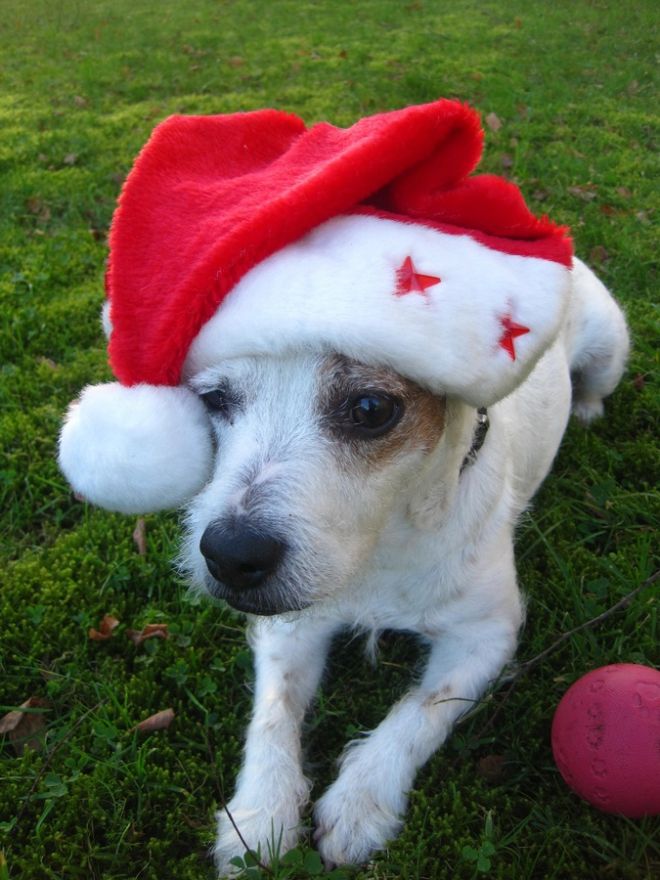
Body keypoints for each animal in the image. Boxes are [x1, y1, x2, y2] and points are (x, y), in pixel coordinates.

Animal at [59, 101, 632, 872]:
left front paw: (362, 801)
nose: (230, 555)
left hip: (610, 345)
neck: (383, 548)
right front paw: (258, 815)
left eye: (369, 408)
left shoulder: (488, 632)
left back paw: (590, 409)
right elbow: (273, 715)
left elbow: (422, 709)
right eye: (212, 400)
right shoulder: (288, 625)